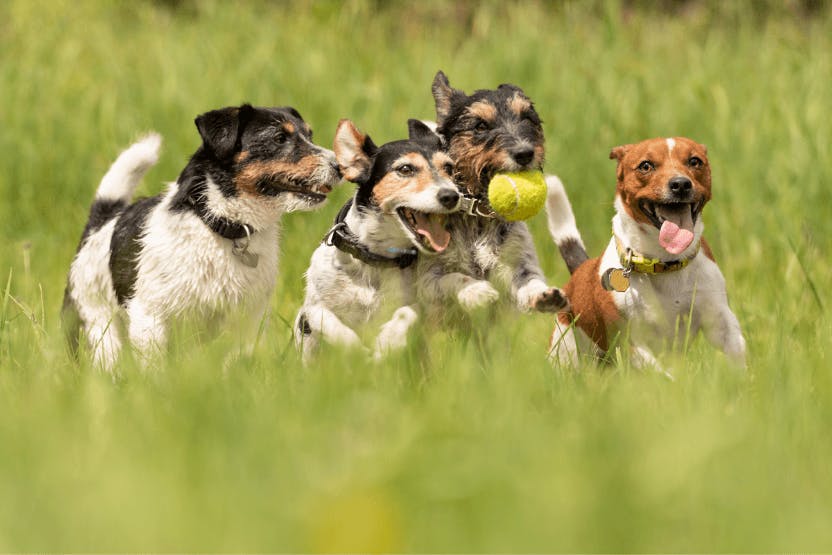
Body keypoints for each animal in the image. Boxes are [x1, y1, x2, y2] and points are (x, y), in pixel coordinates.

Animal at [61, 104, 342, 370]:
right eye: (279, 137)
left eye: (309, 134)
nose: (339, 166)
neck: (222, 227)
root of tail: (99, 226)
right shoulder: (149, 318)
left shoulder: (247, 321)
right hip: (100, 331)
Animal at [294, 119, 462, 362]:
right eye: (405, 169)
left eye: (448, 168)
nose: (451, 196)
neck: (375, 258)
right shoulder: (311, 310)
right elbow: (327, 320)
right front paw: (357, 351)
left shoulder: (419, 301)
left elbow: (408, 312)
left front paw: (387, 341)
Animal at [420, 73, 568, 318]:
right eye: (481, 125)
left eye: (527, 118)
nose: (525, 153)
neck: (479, 217)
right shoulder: (427, 279)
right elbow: (453, 278)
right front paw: (476, 291)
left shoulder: (520, 262)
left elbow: (530, 281)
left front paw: (543, 295)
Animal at [544, 137, 748, 372]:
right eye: (646, 166)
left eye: (695, 161)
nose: (681, 184)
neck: (665, 262)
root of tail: (579, 270)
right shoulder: (630, 343)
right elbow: (661, 373)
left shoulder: (719, 320)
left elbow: (736, 351)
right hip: (566, 349)